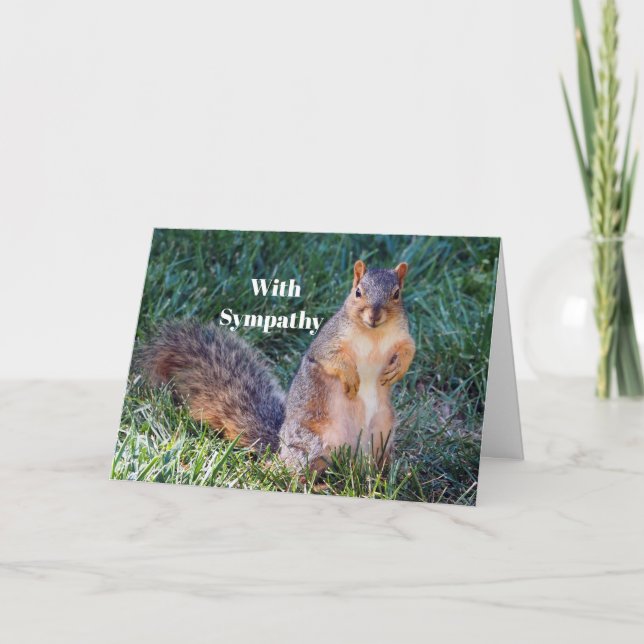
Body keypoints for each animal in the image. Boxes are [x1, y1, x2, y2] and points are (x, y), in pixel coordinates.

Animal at [137, 260, 416, 472]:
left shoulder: (402, 336)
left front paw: (398, 368)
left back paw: (383, 476)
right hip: (313, 444)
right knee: (291, 471)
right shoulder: (329, 340)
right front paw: (350, 377)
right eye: (358, 292)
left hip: (382, 434)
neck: (373, 334)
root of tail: (280, 449)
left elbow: (409, 349)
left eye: (397, 294)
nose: (374, 316)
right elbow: (329, 357)